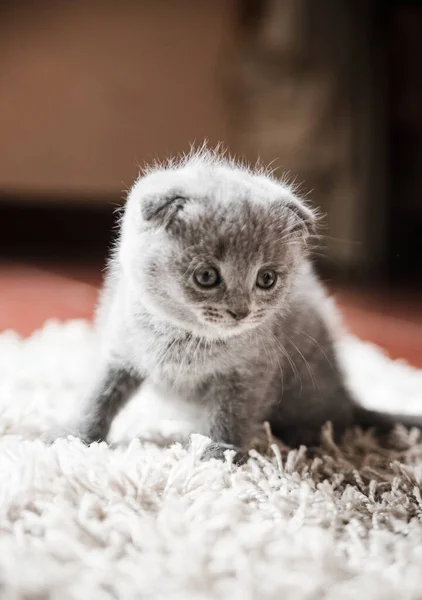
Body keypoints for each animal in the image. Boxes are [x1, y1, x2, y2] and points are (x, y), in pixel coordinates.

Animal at [48, 148, 418, 458]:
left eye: (266, 279)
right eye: (206, 276)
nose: (241, 311)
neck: (186, 339)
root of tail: (348, 396)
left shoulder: (248, 373)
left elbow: (230, 416)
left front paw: (219, 453)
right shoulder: (119, 350)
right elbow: (98, 396)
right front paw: (74, 438)